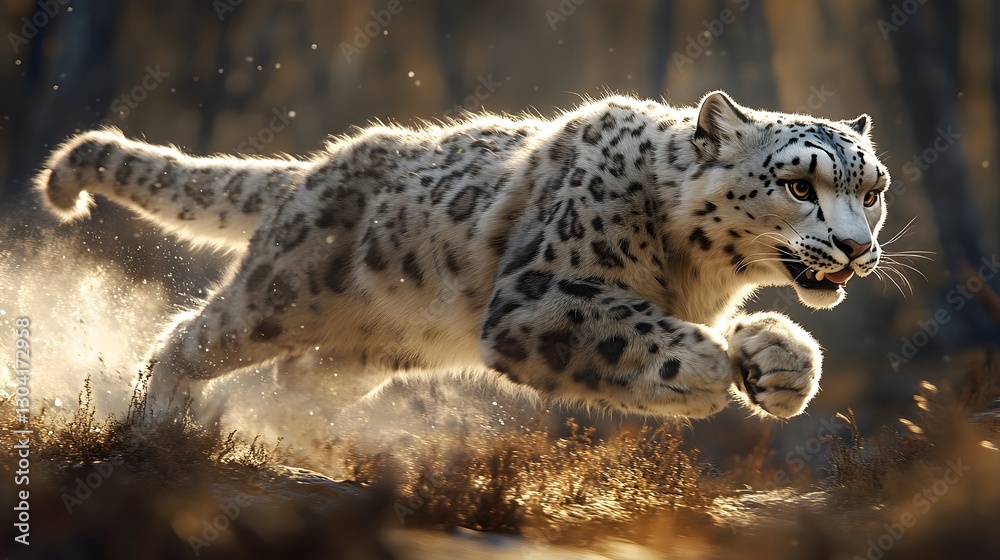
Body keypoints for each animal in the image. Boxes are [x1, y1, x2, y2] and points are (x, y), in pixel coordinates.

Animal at [35, 91, 890, 420]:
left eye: (873, 188)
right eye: (800, 184)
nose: (858, 248)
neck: (704, 280)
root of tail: (311, 168)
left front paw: (778, 363)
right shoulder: (536, 296)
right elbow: (628, 328)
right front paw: (705, 368)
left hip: (366, 354)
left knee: (299, 379)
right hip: (278, 297)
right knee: (191, 337)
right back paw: (160, 421)